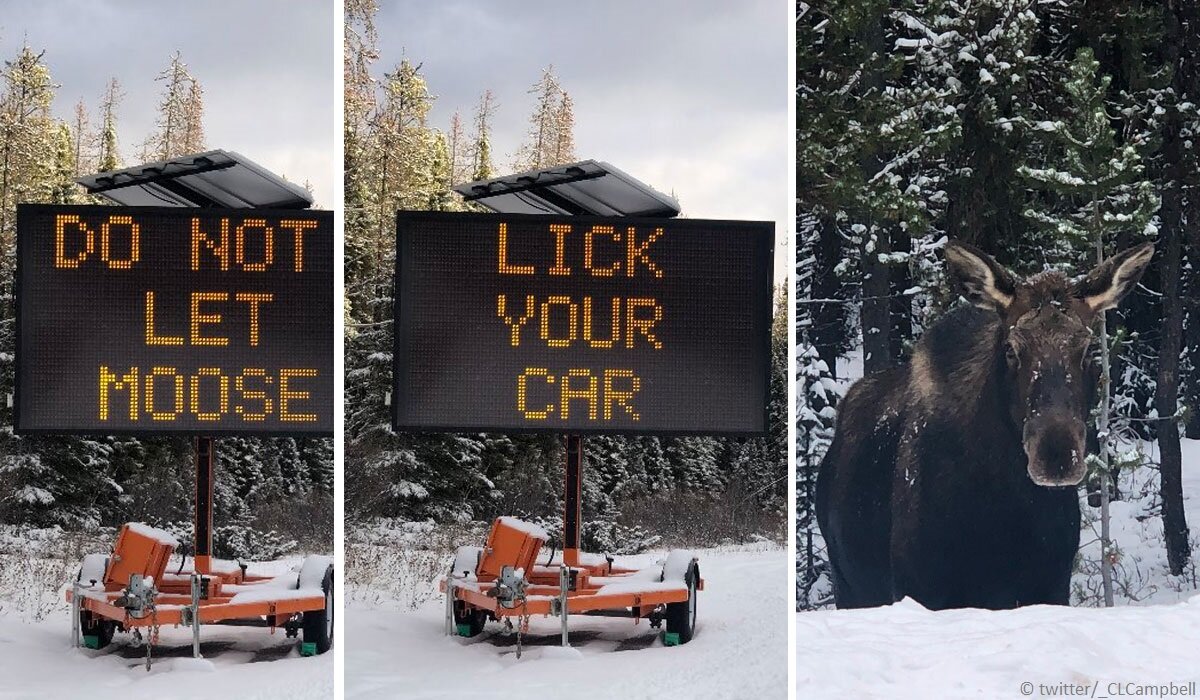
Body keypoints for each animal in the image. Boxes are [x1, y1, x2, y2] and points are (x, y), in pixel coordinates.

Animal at [816, 240, 1152, 607]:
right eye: (1012, 350)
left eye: (1090, 349)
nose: (1057, 455)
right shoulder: (918, 587)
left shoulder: (1050, 586)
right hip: (848, 584)